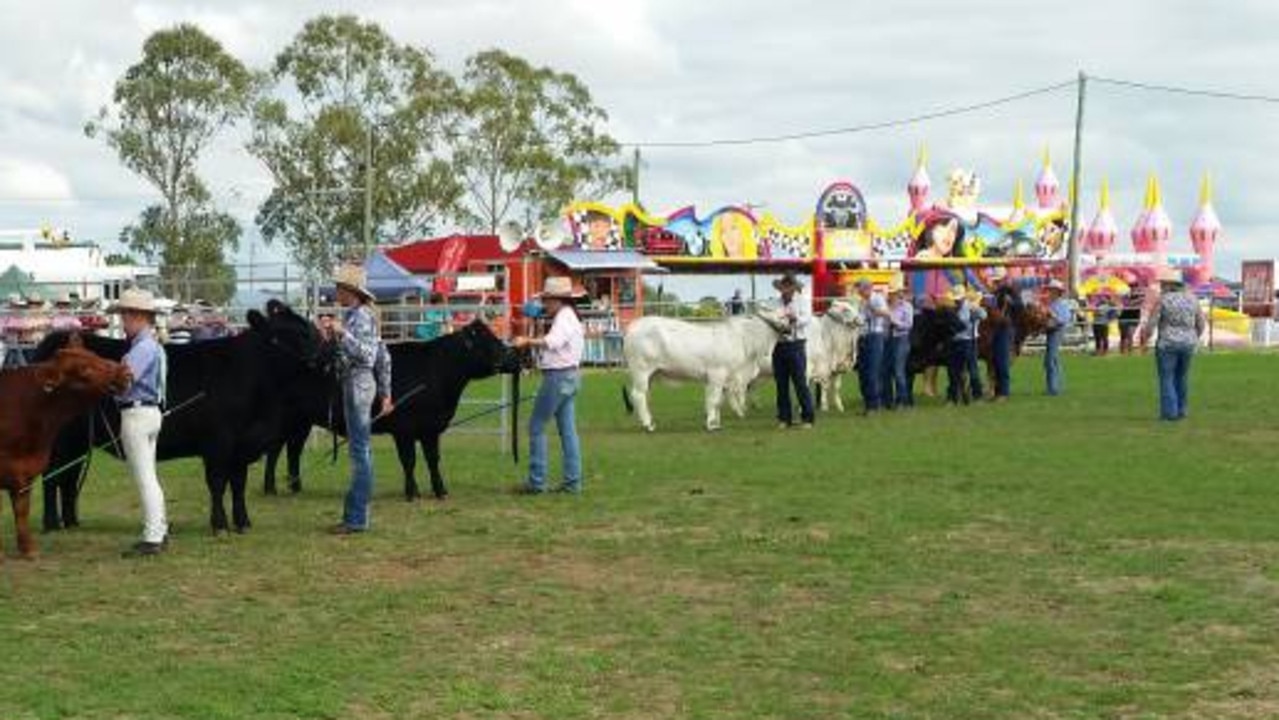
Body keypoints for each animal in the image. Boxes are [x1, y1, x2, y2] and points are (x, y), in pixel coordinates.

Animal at [0, 335, 127, 560]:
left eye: (95, 355)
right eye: (84, 369)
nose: (125, 372)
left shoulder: (23, 473)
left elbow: (22, 511)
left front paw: (28, 550)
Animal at [36, 303, 324, 534]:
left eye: (309, 327)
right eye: (293, 333)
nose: (325, 352)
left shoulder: (242, 445)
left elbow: (238, 484)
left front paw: (243, 522)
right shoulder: (218, 443)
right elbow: (218, 483)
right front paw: (220, 525)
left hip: (77, 442)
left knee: (69, 476)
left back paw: (72, 522)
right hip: (59, 440)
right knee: (52, 476)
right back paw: (51, 525)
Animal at [259, 319, 524, 501]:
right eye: (489, 342)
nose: (516, 357)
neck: (436, 373)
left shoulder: (431, 428)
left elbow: (432, 459)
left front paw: (440, 491)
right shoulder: (404, 429)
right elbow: (409, 460)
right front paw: (412, 492)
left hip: (301, 422)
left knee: (293, 450)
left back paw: (295, 487)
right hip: (285, 418)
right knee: (275, 450)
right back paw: (271, 488)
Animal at [624, 314, 782, 427]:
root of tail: (633, 327)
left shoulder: (721, 380)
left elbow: (717, 400)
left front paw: (716, 421)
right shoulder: (717, 375)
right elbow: (714, 399)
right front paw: (711, 424)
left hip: (649, 375)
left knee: (644, 396)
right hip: (641, 371)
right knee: (638, 395)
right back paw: (648, 424)